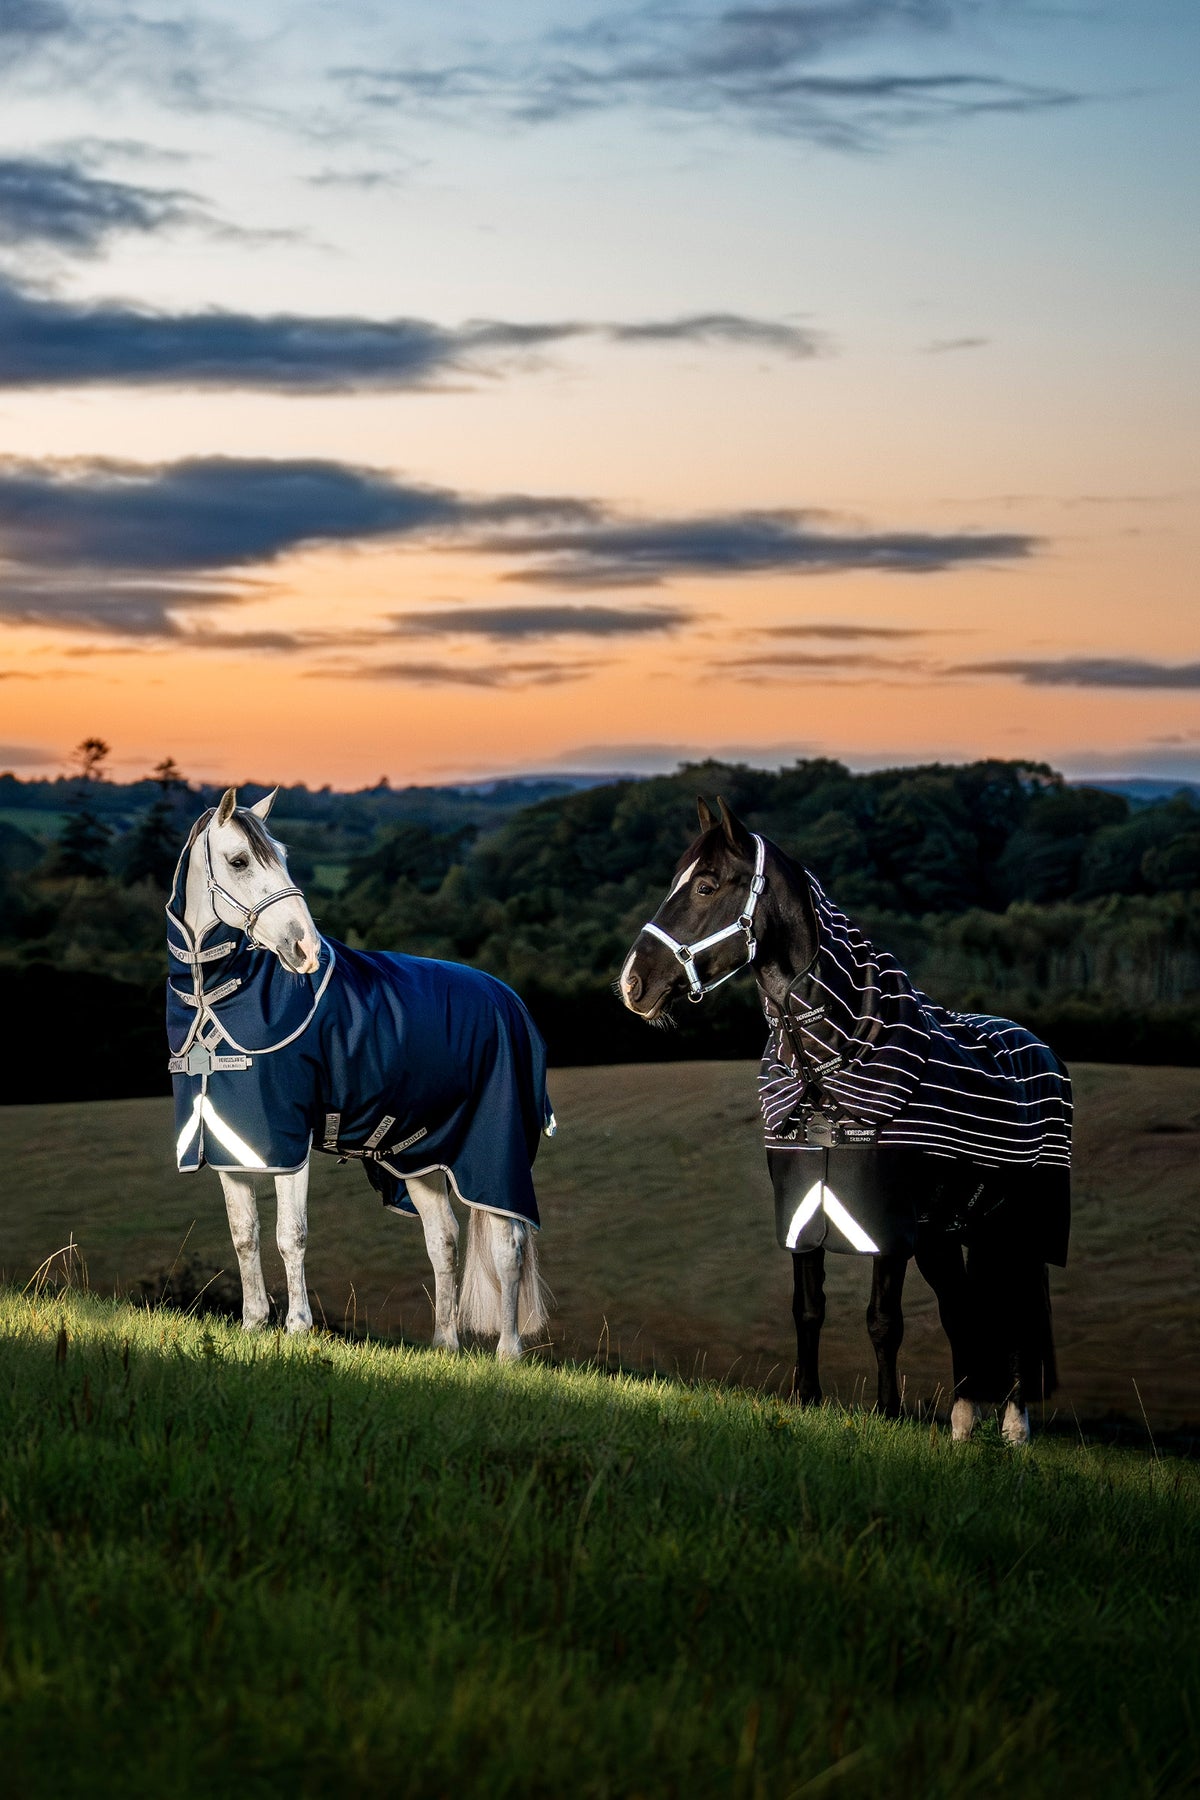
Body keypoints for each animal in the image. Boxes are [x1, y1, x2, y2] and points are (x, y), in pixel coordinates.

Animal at [165, 787, 552, 1358]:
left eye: (283, 856)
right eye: (239, 862)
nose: (304, 949)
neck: (218, 998)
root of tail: (511, 1000)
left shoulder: (289, 1141)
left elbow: (290, 1234)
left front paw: (298, 1327)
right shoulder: (230, 1143)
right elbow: (245, 1233)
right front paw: (253, 1323)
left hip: (495, 1158)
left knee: (509, 1245)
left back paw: (507, 1354)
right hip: (418, 1156)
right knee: (443, 1240)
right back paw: (445, 1345)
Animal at [618, 797, 1072, 1444]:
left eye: (705, 885)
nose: (633, 983)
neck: (829, 1064)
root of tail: (1041, 1049)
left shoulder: (886, 1225)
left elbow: (883, 1319)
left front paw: (888, 1414)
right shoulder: (804, 1207)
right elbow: (808, 1309)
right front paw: (806, 1400)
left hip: (1019, 1231)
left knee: (1016, 1315)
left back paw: (1013, 1426)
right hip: (946, 1233)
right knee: (963, 1310)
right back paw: (963, 1423)